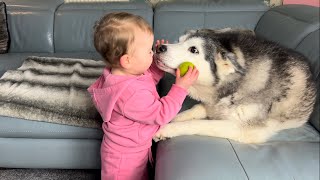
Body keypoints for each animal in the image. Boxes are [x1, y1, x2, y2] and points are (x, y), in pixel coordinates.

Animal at [154, 28, 316, 143]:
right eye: (178, 41)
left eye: (193, 49)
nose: (159, 47)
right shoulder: (212, 105)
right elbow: (194, 109)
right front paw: (173, 118)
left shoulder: (243, 129)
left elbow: (199, 124)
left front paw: (167, 129)